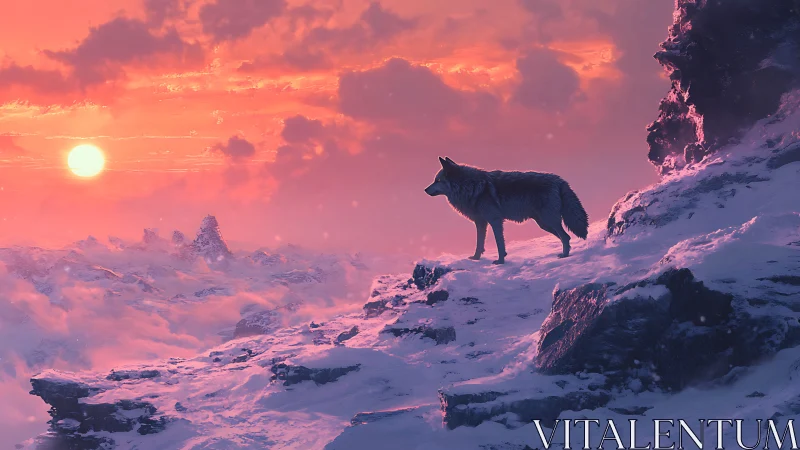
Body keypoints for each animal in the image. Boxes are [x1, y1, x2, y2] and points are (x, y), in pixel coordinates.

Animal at [424, 157, 589, 264]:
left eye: (437, 181)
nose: (425, 190)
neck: (471, 186)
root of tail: (560, 180)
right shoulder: (481, 222)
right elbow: (479, 243)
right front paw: (476, 258)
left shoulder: (495, 220)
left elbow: (499, 243)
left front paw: (500, 261)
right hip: (544, 224)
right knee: (565, 237)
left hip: (549, 221)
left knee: (565, 236)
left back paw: (565, 256)